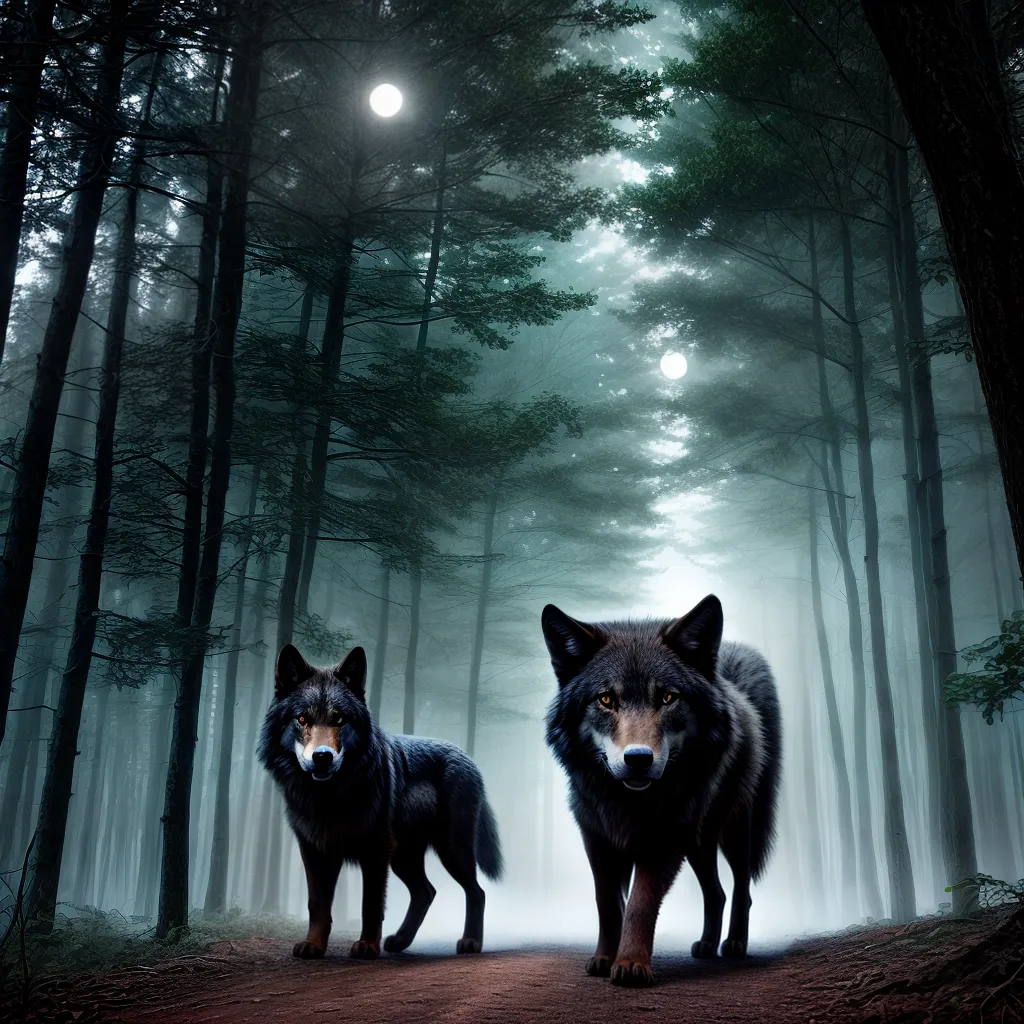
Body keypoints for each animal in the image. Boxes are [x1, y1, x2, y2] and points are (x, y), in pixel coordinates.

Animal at [258, 643, 504, 960]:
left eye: (339, 719)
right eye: (302, 719)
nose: (322, 756)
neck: (328, 796)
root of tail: (468, 757)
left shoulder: (374, 849)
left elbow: (371, 903)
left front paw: (367, 946)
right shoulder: (314, 849)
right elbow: (318, 904)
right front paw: (313, 945)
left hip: (451, 850)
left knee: (476, 892)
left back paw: (471, 942)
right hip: (404, 858)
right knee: (426, 892)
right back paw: (399, 941)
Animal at [542, 594, 781, 988]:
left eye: (669, 698)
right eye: (605, 700)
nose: (638, 758)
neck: (629, 801)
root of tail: (728, 682)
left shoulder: (664, 839)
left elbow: (640, 903)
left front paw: (630, 964)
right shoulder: (597, 836)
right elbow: (608, 903)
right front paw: (605, 958)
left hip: (732, 832)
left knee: (741, 890)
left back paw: (733, 944)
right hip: (698, 844)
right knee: (716, 893)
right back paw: (706, 946)